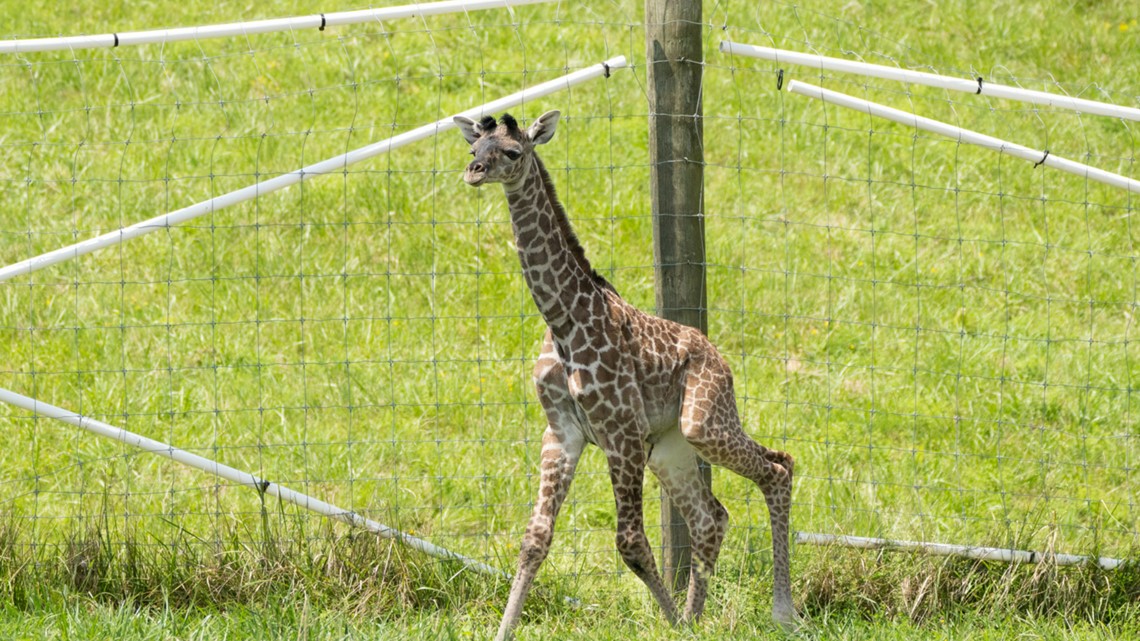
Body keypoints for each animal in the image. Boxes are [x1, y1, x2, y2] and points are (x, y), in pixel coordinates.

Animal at [454, 110, 798, 640]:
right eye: (475, 148)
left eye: (512, 152)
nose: (474, 172)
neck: (564, 320)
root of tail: (720, 358)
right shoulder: (562, 433)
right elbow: (535, 538)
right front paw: (502, 632)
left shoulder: (621, 431)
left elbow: (631, 542)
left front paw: (672, 624)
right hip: (671, 447)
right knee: (711, 518)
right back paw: (698, 618)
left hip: (704, 421)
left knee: (778, 468)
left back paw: (780, 612)